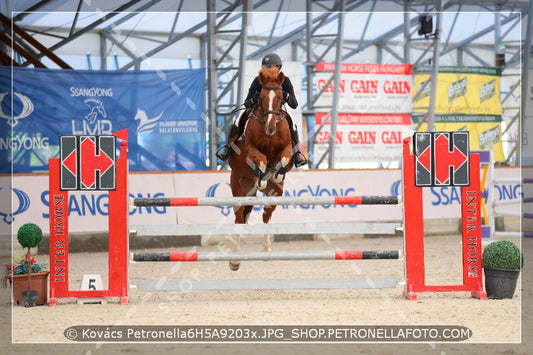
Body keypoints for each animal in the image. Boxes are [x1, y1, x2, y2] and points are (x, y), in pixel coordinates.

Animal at [224, 67, 290, 272]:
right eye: (260, 97)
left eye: (280, 97)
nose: (270, 128)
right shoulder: (249, 150)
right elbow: (260, 159)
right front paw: (261, 175)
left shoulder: (287, 149)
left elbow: (284, 158)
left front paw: (275, 174)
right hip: (239, 188)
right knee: (239, 218)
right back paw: (235, 260)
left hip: (275, 195)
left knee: (266, 215)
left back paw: (267, 250)